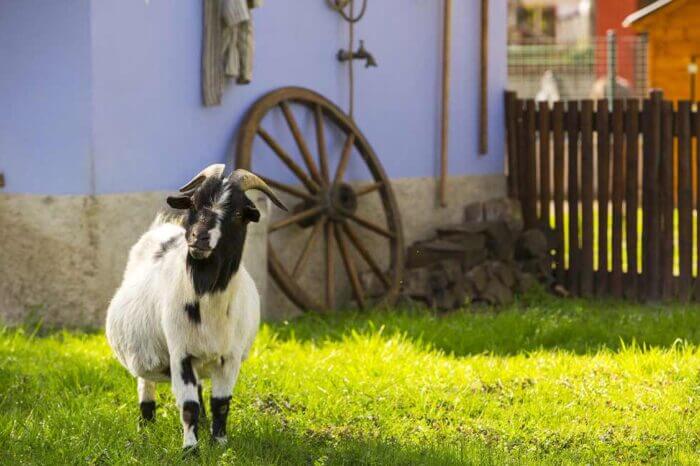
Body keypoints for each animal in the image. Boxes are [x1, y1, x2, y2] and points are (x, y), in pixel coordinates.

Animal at [105, 165, 286, 452]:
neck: (207, 299)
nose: (198, 237)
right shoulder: (180, 352)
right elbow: (188, 405)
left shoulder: (229, 357)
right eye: (194, 203)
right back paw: (146, 429)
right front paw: (190, 449)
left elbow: (221, 403)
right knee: (146, 386)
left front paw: (220, 443)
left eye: (237, 212)